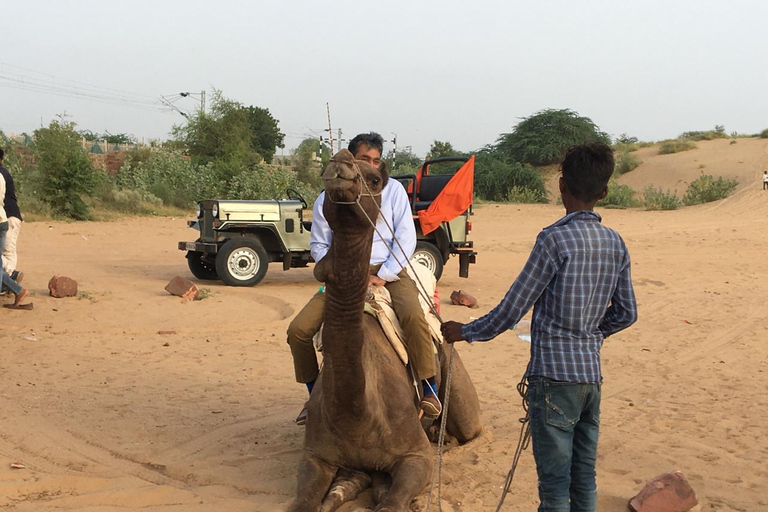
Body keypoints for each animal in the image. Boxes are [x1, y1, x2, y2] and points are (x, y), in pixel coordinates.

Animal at [288, 150, 480, 510]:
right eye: (325, 167)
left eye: (374, 179)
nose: (341, 163)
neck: (357, 414)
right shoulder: (315, 456)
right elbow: (304, 501)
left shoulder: (416, 455)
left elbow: (392, 501)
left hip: (456, 380)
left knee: (470, 428)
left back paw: (442, 429)